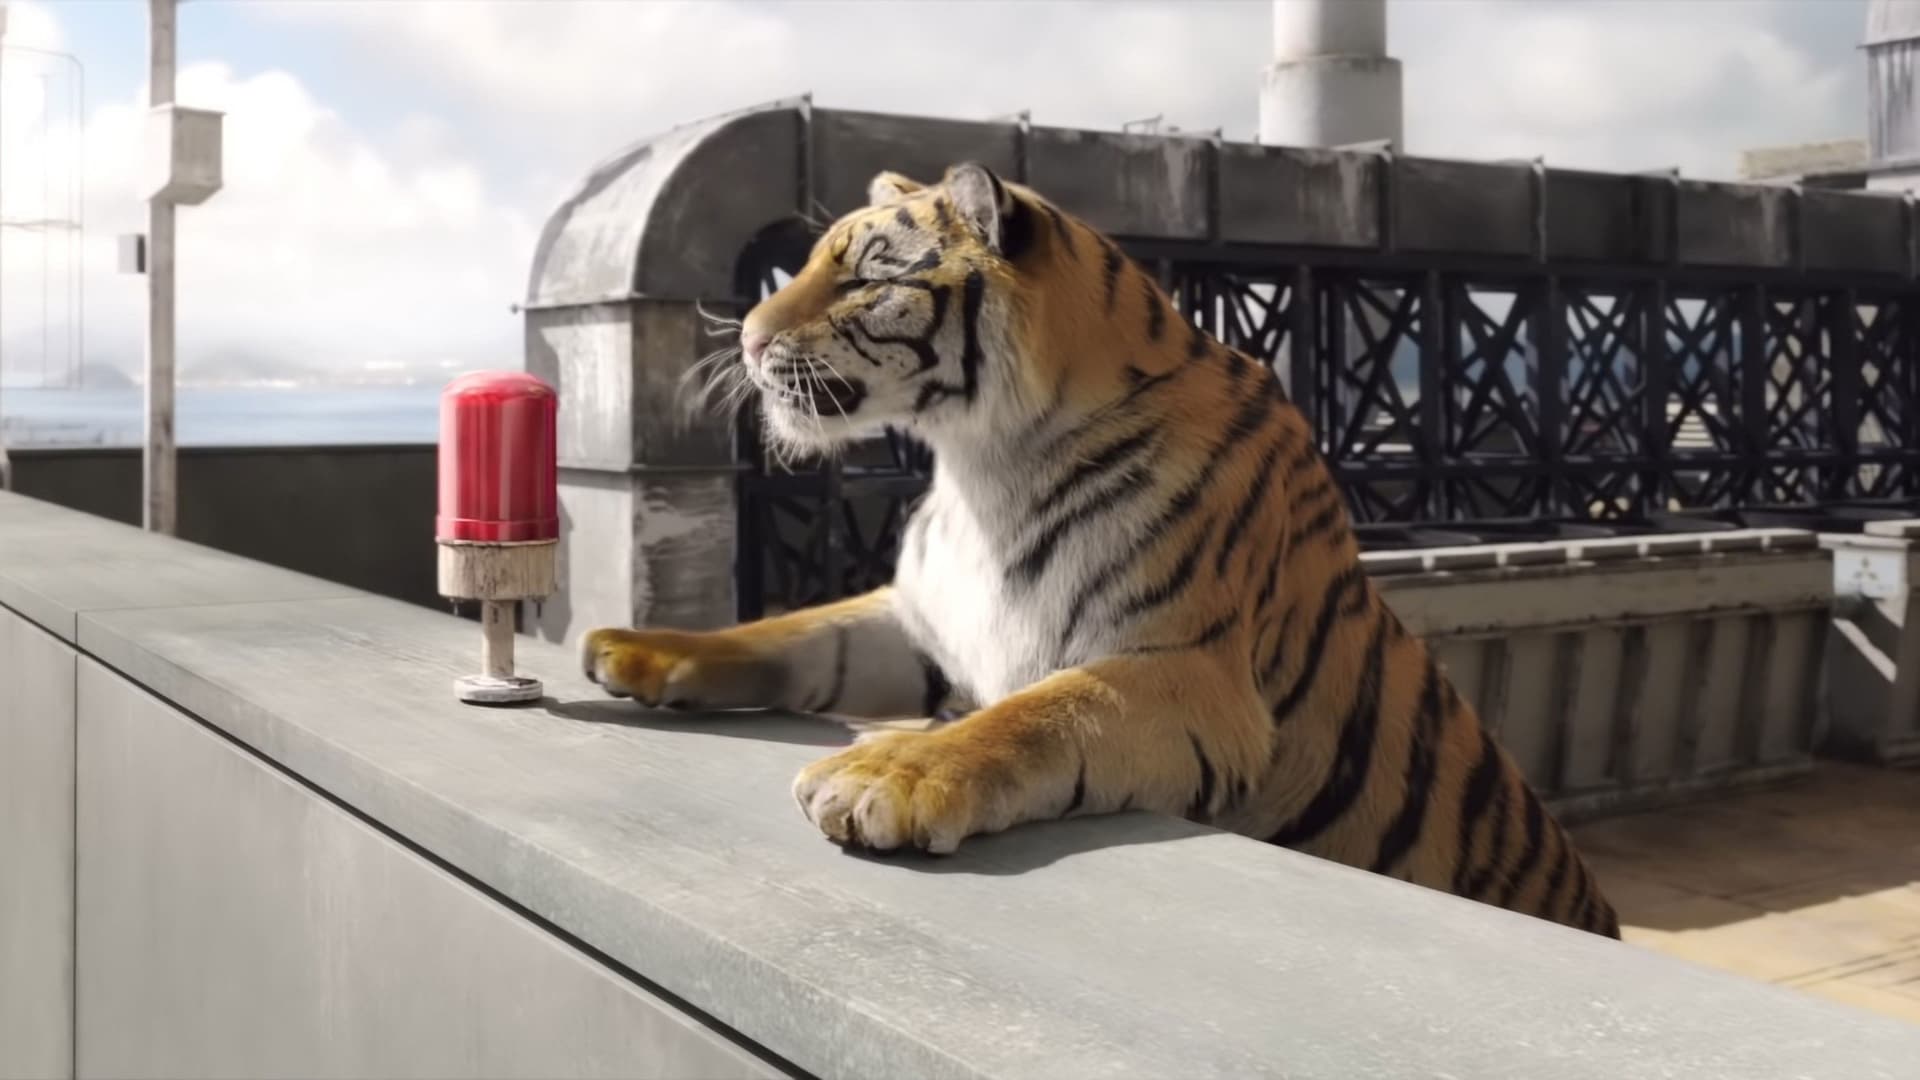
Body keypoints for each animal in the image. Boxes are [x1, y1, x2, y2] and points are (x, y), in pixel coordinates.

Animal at [580, 161, 1621, 939]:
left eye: (870, 277)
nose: (749, 343)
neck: (981, 462)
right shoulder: (924, 622)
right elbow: (791, 633)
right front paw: (640, 647)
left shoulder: (1185, 672)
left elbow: (1032, 716)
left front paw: (887, 774)